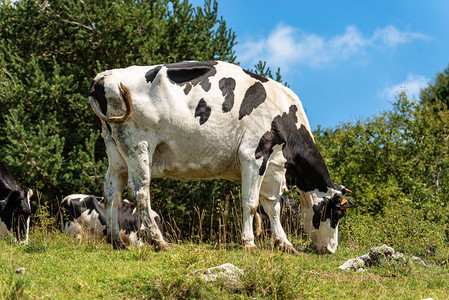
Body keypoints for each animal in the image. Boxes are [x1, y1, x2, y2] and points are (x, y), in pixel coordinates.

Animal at [86, 60, 354, 253]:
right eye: (337, 213)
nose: (331, 249)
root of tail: (104, 77)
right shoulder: (254, 154)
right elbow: (251, 203)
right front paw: (249, 243)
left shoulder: (273, 168)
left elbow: (273, 206)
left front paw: (284, 244)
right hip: (138, 145)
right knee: (141, 190)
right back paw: (159, 242)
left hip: (116, 152)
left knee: (111, 191)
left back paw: (117, 242)